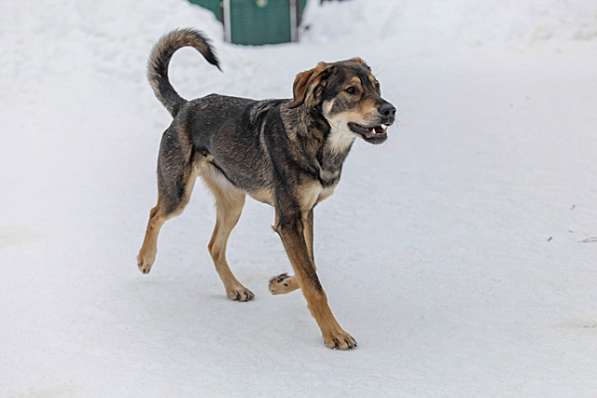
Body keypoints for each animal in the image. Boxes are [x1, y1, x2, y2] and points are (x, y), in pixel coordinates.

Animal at [137, 29, 394, 350]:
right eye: (351, 90)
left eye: (376, 85)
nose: (390, 110)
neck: (317, 141)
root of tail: (184, 107)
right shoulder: (288, 220)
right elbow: (313, 283)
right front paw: (334, 334)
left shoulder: (304, 214)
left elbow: (309, 268)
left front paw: (280, 283)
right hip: (178, 193)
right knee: (155, 213)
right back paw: (146, 259)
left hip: (234, 203)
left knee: (214, 245)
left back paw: (235, 288)